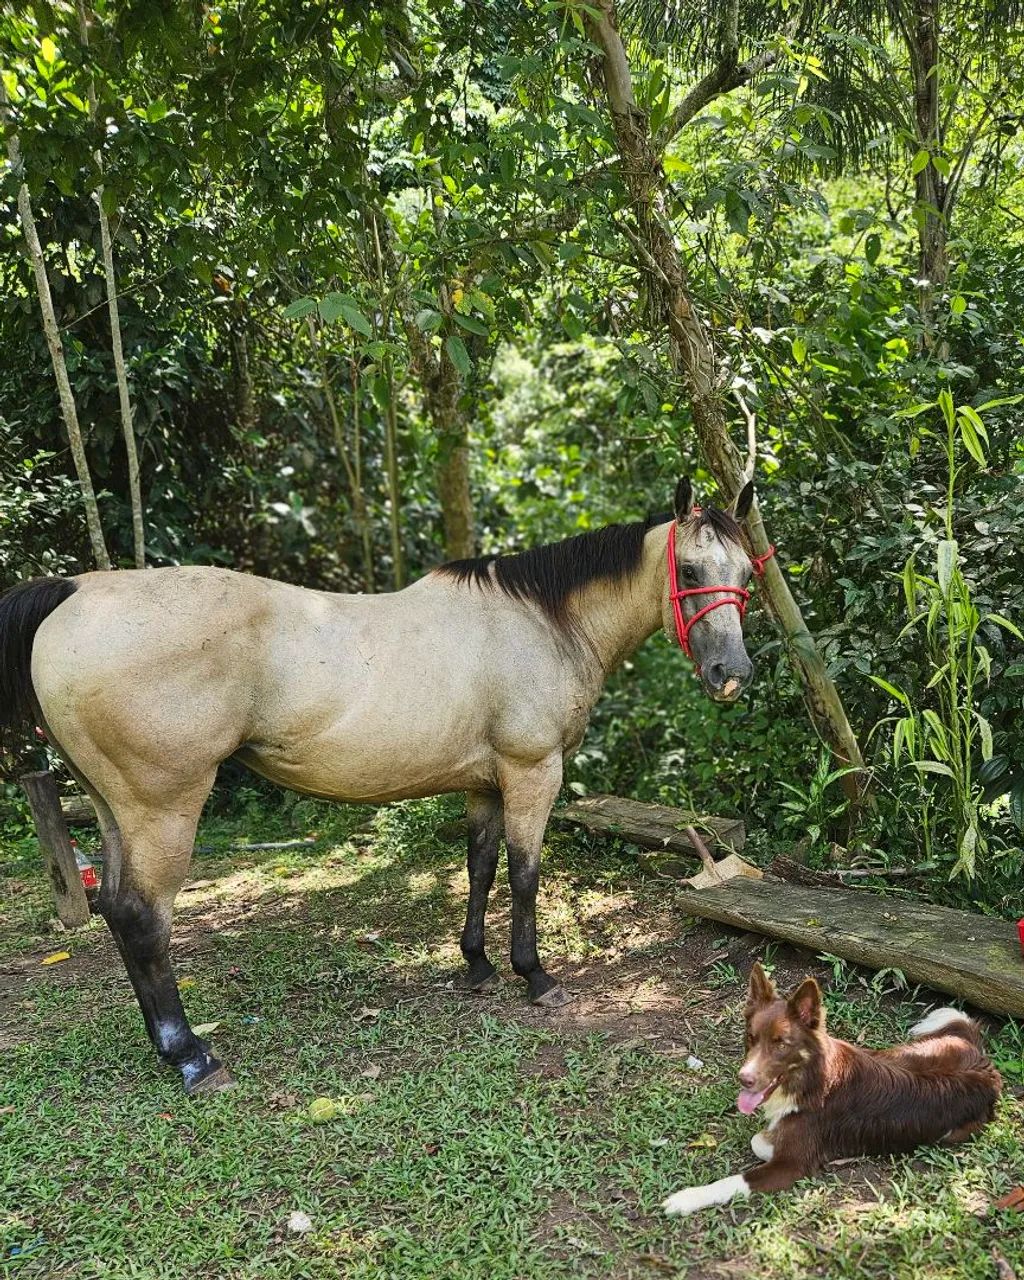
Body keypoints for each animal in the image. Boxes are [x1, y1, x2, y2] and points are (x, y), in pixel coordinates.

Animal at [0, 477, 762, 1094]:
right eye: (689, 567)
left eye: (747, 572)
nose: (731, 673)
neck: (540, 620)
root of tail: (76, 591)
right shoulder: (531, 771)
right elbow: (524, 873)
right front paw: (534, 975)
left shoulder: (485, 783)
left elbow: (480, 866)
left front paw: (477, 966)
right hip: (162, 809)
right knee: (141, 918)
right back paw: (190, 1055)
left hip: (112, 807)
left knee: (117, 912)